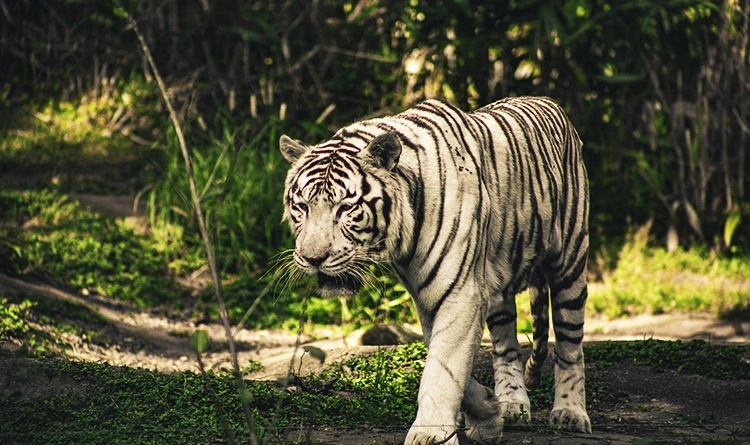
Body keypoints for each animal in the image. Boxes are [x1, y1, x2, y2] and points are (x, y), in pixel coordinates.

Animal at [279, 96, 591, 444]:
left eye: (346, 208)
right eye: (302, 207)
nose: (312, 258)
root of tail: (548, 101)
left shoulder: (460, 293)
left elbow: (442, 371)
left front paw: (430, 434)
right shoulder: (431, 298)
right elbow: (448, 363)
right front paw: (488, 412)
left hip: (570, 263)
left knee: (569, 344)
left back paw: (569, 413)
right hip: (499, 288)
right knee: (506, 347)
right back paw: (512, 406)